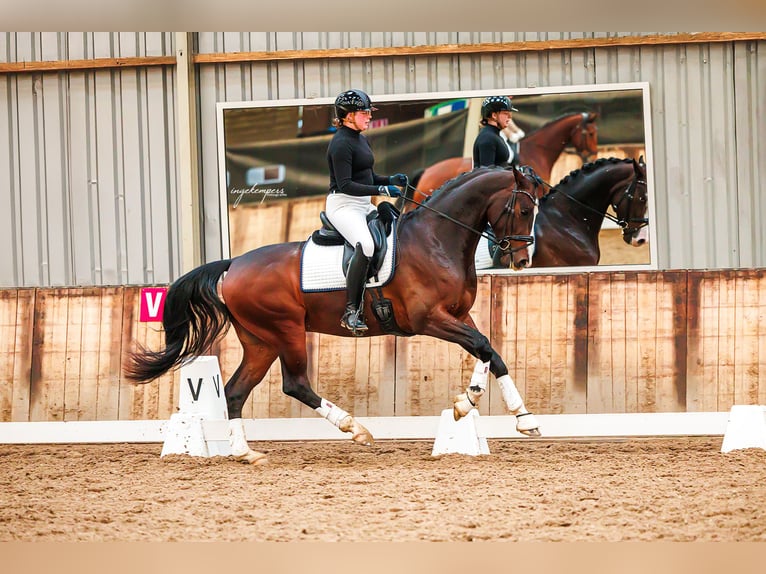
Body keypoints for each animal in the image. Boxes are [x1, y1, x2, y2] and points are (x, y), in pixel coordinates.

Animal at [124, 165, 542, 465]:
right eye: (524, 209)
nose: (522, 261)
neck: (435, 239)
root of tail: (232, 265)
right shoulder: (430, 320)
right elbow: (484, 345)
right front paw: (474, 405)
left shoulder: (458, 315)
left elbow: (489, 351)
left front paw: (510, 414)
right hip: (286, 331)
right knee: (295, 384)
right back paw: (354, 428)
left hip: (260, 341)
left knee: (235, 391)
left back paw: (246, 453)